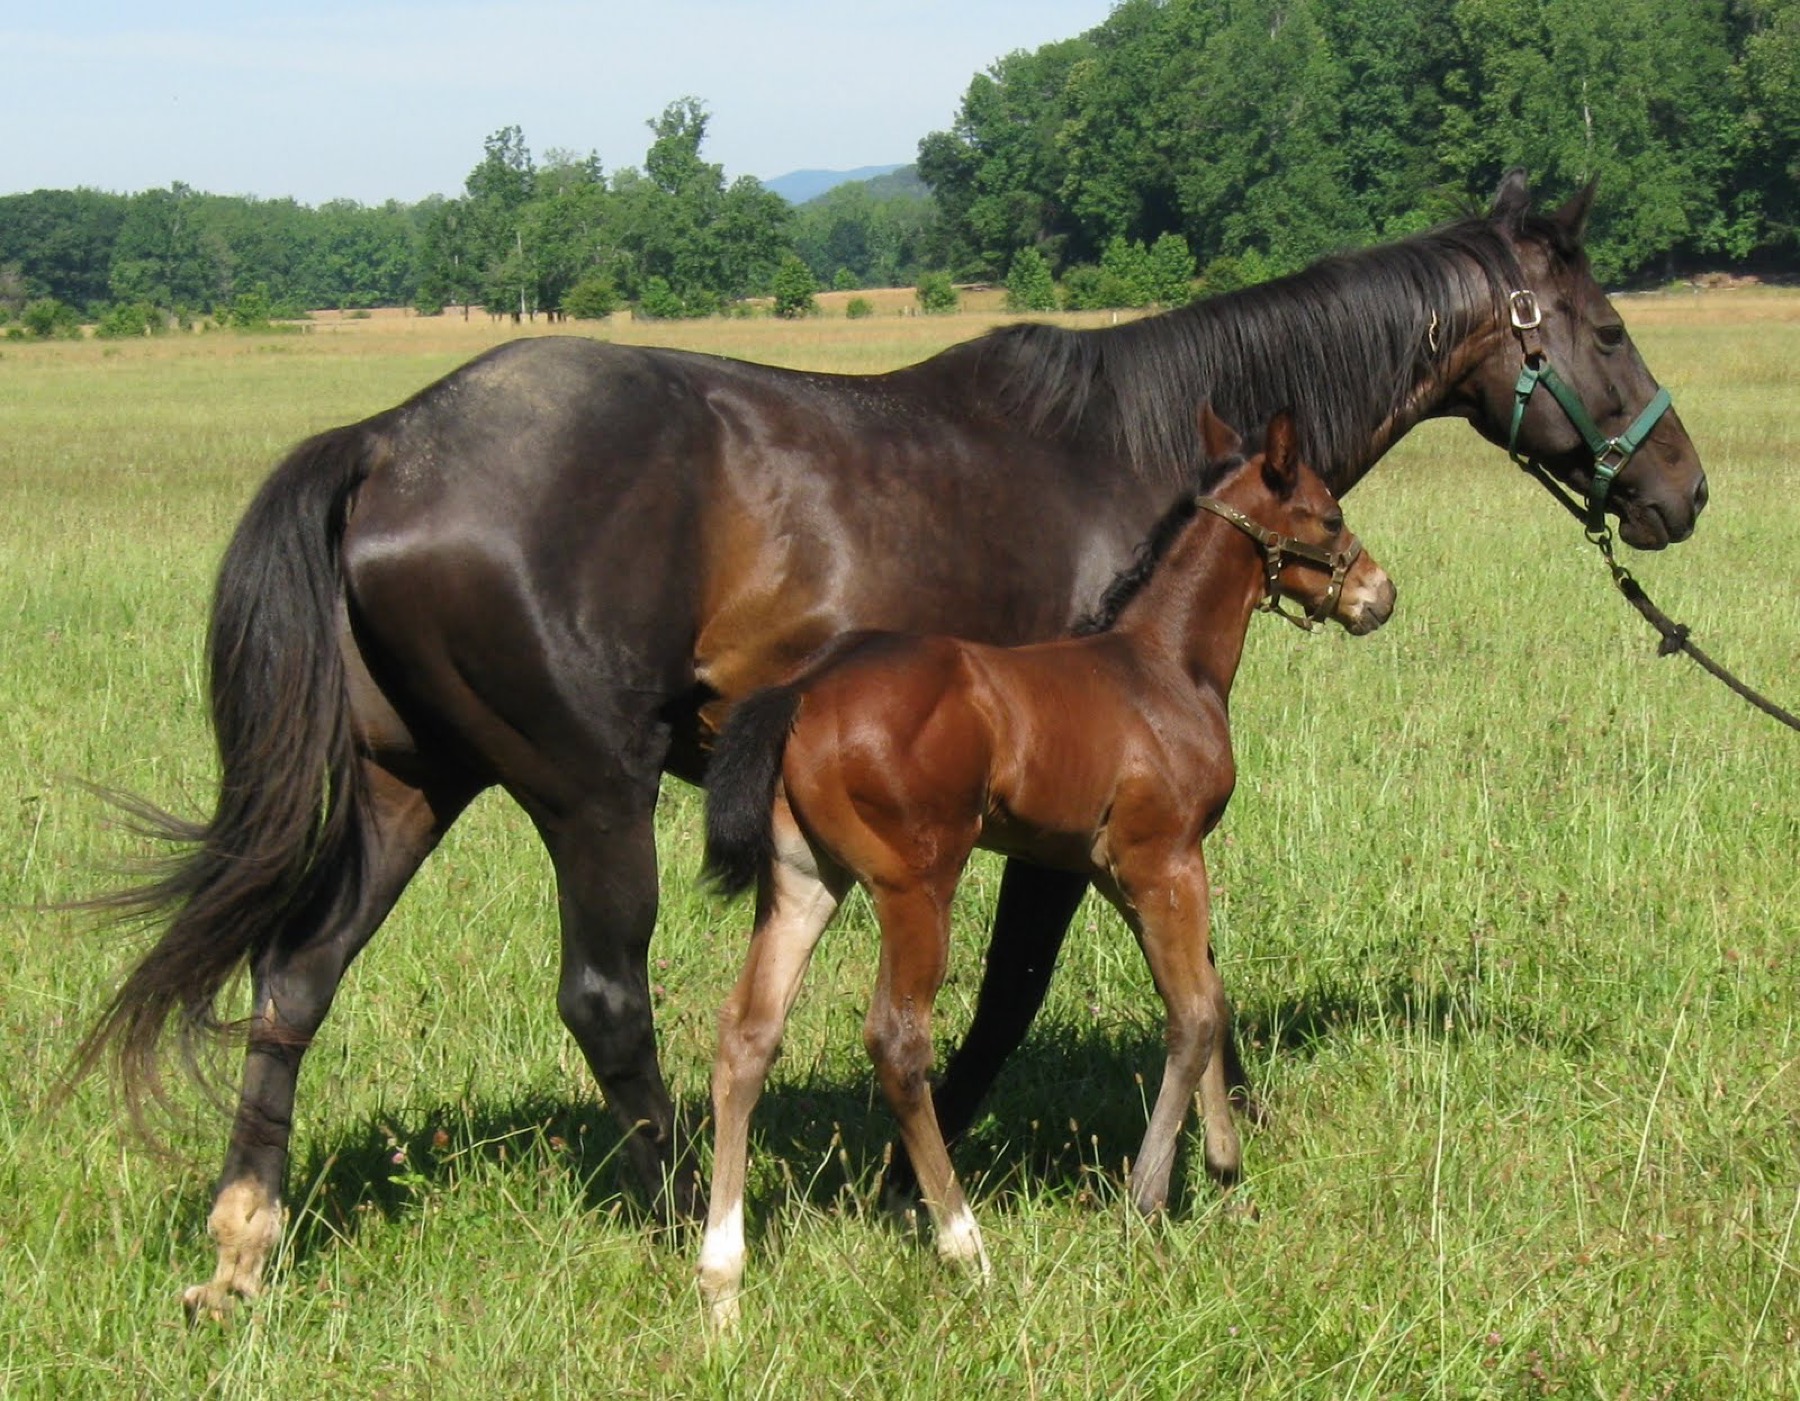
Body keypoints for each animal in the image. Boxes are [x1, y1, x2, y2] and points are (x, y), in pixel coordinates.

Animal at [695, 407, 1395, 1328]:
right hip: (916, 885)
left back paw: (722, 1278)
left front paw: (1222, 1157)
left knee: (748, 1035)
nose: (1379, 594)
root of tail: (803, 688)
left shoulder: (1114, 871)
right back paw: (965, 1243)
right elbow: (1193, 1012)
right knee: (897, 1040)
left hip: (805, 880)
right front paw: (1149, 1194)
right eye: (1330, 515)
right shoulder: (1164, 858)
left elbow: (1207, 994)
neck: (1165, 665)